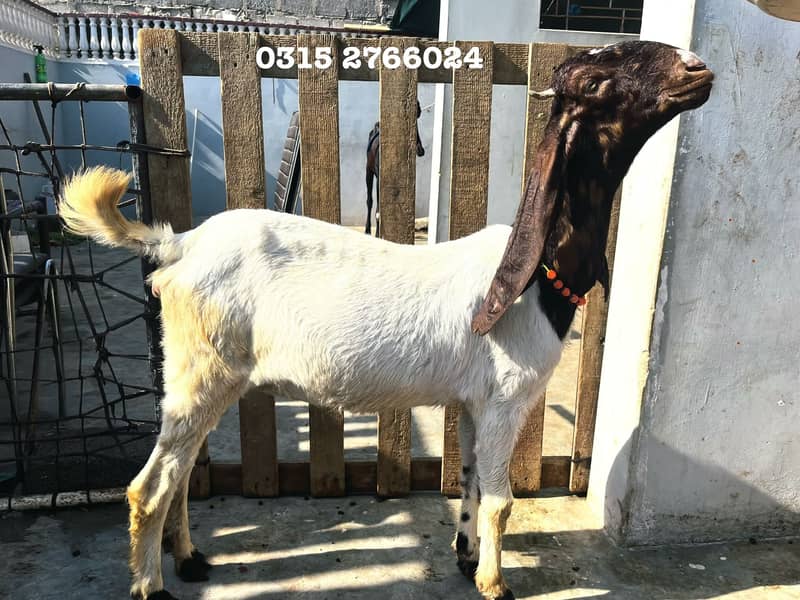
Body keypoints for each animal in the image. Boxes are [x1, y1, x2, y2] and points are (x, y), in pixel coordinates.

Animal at [365, 99, 425, 235]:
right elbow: (378, 208)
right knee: (370, 201)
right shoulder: (379, 177)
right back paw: (367, 230)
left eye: (417, 115)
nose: (420, 150)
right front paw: (377, 234)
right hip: (368, 171)